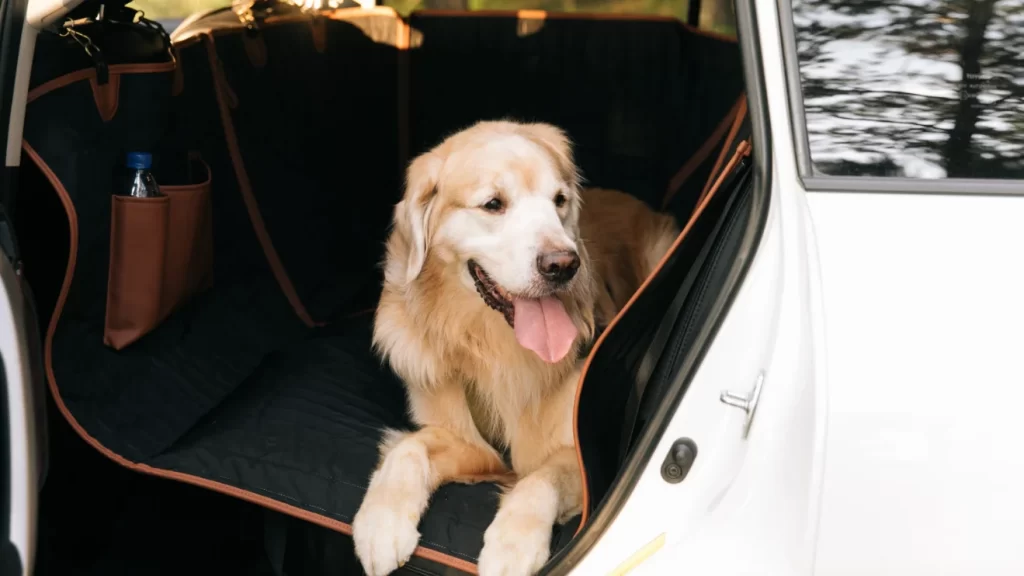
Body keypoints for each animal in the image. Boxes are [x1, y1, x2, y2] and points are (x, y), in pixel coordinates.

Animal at [352, 118, 679, 569]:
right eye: (493, 204)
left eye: (559, 201)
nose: (564, 265)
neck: (493, 345)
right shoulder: (466, 440)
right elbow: (410, 448)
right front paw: (380, 523)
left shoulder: (576, 454)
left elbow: (540, 478)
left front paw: (512, 545)